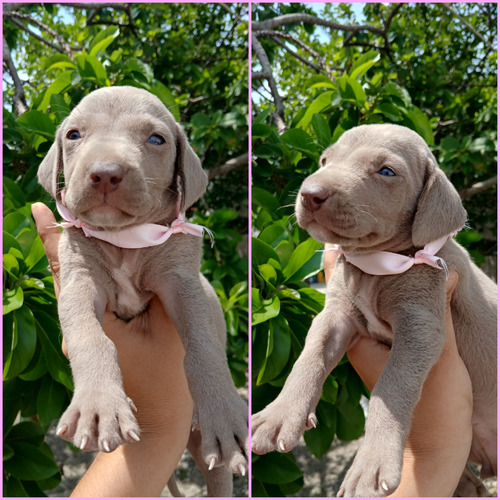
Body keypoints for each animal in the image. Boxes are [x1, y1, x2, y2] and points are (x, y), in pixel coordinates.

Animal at [38, 86, 249, 496]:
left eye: (156, 139)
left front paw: (222, 409)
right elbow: (90, 336)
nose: (105, 173)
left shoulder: (184, 281)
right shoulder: (79, 279)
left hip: (209, 454)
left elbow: (203, 345)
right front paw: (99, 406)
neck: (125, 240)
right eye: (74, 134)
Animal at [252, 124, 498, 496]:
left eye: (386, 172)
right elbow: (310, 356)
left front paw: (370, 466)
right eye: (324, 161)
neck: (374, 266)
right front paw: (280, 415)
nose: (309, 194)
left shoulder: (420, 324)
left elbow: (390, 387)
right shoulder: (336, 313)